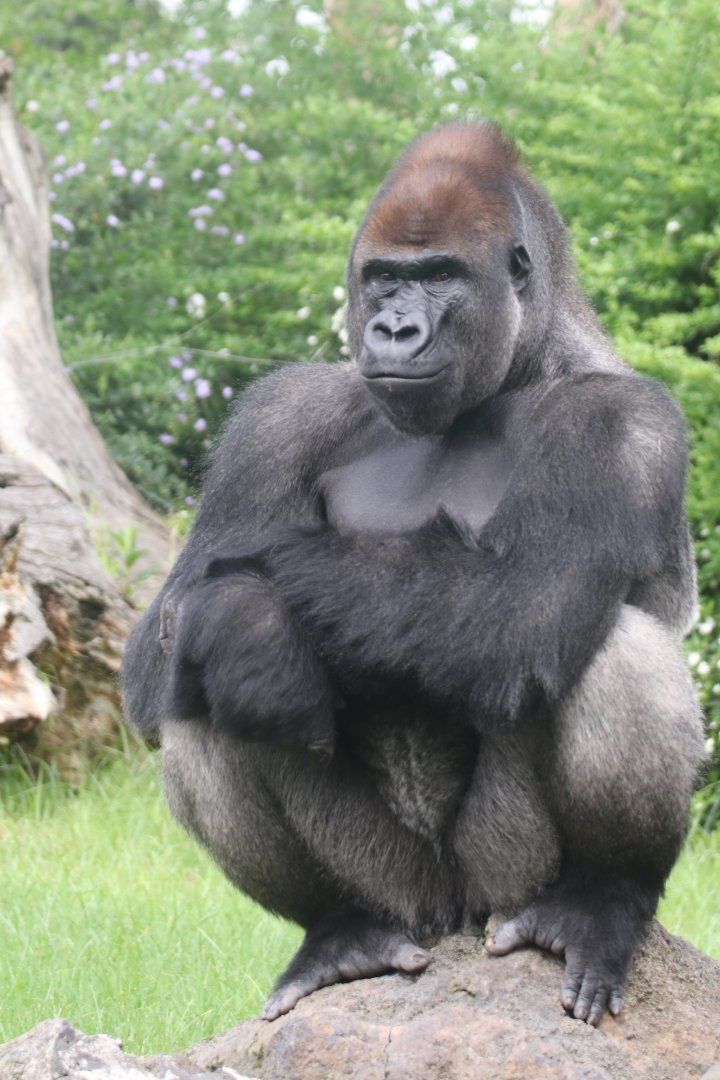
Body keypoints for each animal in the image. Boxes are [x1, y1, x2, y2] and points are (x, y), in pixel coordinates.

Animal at [122, 121, 704, 1028]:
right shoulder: (276, 416)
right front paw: (249, 628)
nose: (394, 329)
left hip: (502, 874)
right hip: (401, 888)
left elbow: (520, 609)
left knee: (614, 646)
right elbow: (166, 630)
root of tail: (452, 915)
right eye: (385, 278)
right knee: (194, 695)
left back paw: (600, 900)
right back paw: (338, 929)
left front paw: (255, 612)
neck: (524, 362)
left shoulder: (621, 423)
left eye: (441, 277)